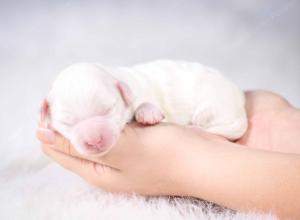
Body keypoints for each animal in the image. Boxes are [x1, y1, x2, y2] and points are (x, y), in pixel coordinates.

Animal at [41, 60, 247, 156]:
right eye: (67, 122)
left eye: (108, 109)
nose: (94, 141)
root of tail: (241, 106)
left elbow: (148, 104)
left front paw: (148, 113)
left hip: (214, 106)